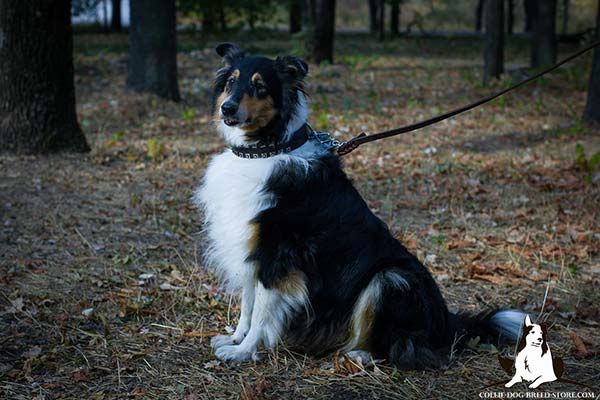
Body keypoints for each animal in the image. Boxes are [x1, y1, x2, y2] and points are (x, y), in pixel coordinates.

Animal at [195, 43, 524, 368]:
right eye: (231, 82)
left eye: (260, 87)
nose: (227, 108)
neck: (268, 149)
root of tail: (446, 323)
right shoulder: (250, 250)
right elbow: (248, 305)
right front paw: (235, 339)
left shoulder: (277, 255)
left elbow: (262, 311)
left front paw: (244, 351)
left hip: (390, 278)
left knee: (399, 346)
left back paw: (358, 355)